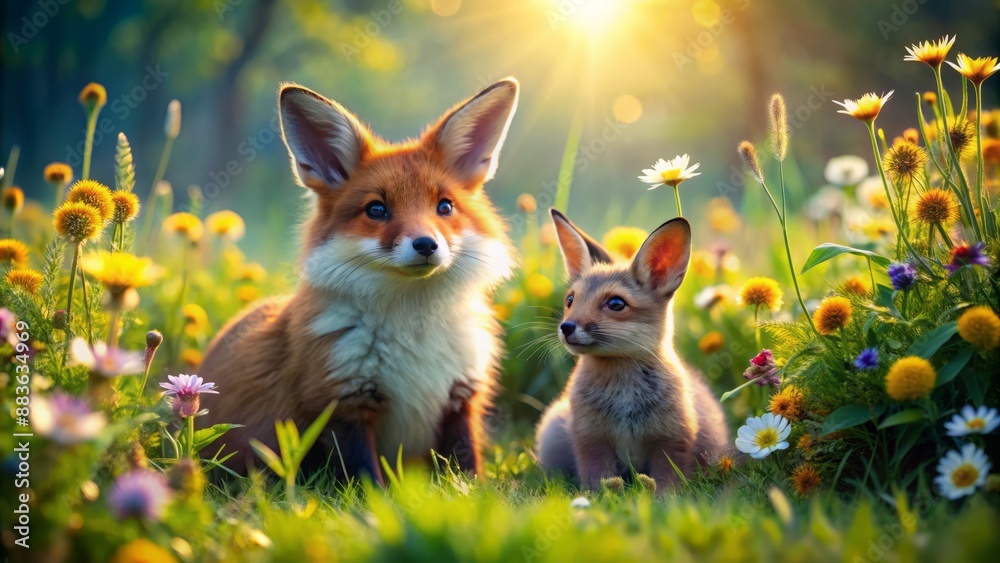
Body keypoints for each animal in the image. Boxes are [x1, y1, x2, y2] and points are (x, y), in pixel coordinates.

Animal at [198, 78, 521, 485]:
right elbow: (368, 482)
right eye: (377, 209)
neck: (414, 329)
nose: (426, 244)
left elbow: (468, 472)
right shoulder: (341, 404)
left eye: (444, 207)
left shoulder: (461, 398)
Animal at [534, 209, 728, 491]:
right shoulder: (590, 442)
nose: (566, 327)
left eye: (616, 304)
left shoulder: (671, 442)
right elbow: (598, 483)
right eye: (570, 300)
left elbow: (667, 486)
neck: (624, 395)